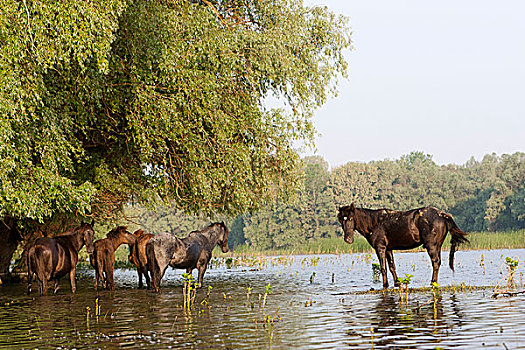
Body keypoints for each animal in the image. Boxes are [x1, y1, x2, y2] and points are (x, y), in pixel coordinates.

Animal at [338, 204, 468, 288]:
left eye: (350, 218)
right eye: (341, 220)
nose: (348, 239)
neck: (374, 223)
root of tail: (442, 214)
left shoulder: (380, 248)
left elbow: (383, 268)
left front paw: (385, 285)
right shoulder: (388, 249)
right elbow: (392, 267)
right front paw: (397, 283)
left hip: (431, 246)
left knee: (435, 262)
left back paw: (432, 282)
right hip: (438, 245)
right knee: (438, 262)